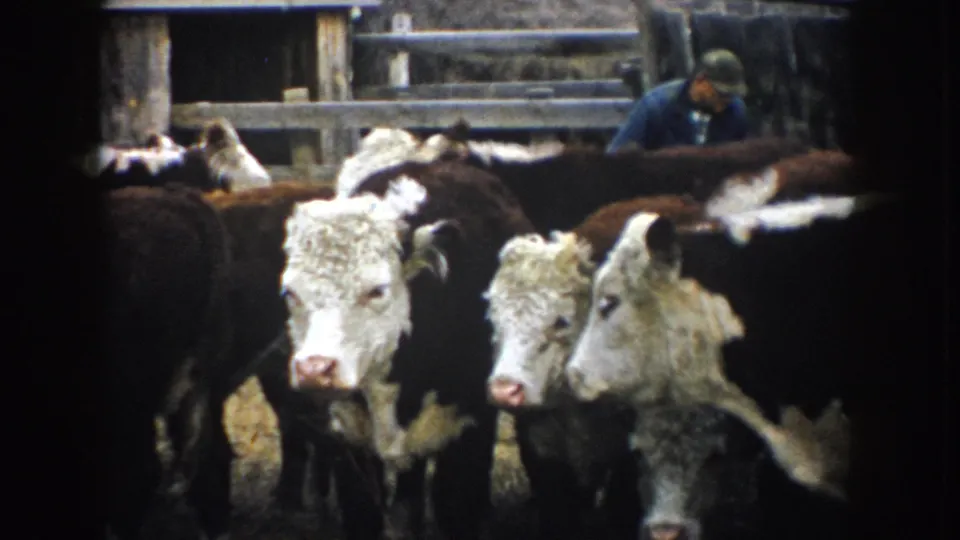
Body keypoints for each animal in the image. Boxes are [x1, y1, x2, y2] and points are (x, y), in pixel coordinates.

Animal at [280, 160, 536, 540]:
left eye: (376, 290)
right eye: (290, 293)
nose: (314, 368)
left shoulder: (467, 428)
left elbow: (456, 511)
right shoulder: (349, 443)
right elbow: (364, 516)